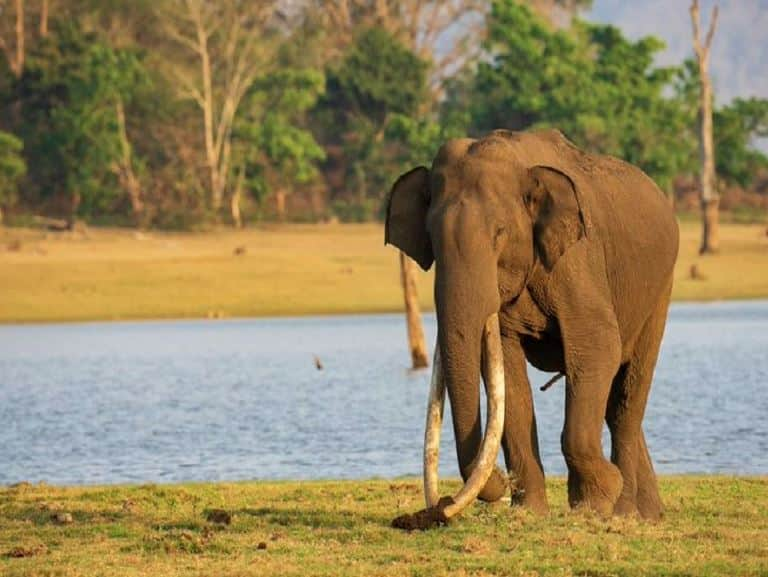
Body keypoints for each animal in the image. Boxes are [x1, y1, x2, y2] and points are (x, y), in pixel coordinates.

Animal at [388, 128, 676, 528]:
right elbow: (506, 374)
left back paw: (625, 512)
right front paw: (528, 511)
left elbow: (598, 346)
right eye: (430, 237)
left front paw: (594, 503)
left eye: (499, 233)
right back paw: (648, 514)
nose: (437, 509)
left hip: (659, 288)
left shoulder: (577, 262)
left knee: (626, 397)